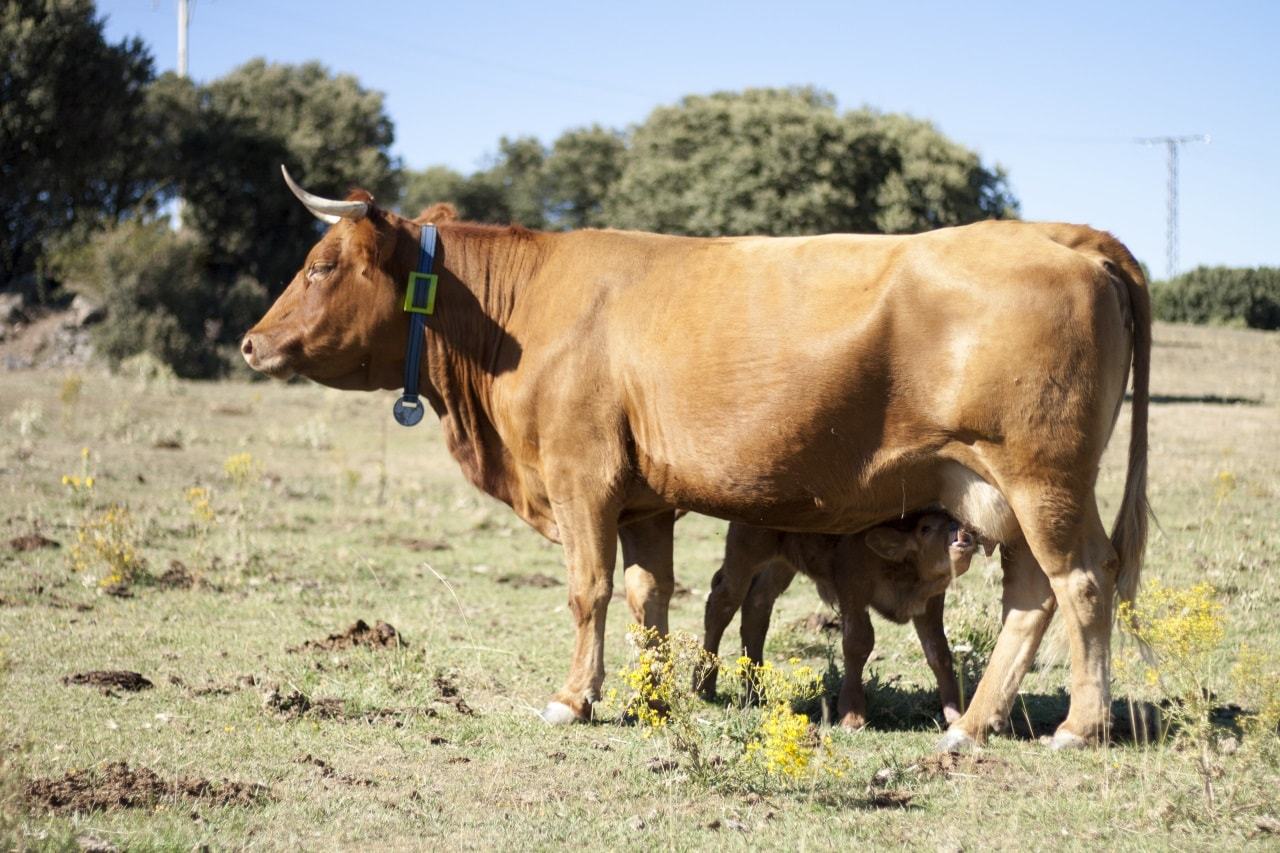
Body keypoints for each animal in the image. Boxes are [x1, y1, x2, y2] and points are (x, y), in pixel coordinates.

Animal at [701, 507, 977, 727]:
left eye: (954, 518)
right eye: (925, 528)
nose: (960, 531)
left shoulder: (930, 603)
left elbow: (938, 650)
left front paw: (956, 714)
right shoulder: (852, 590)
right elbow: (858, 643)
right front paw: (852, 715)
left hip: (780, 565)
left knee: (756, 607)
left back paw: (755, 693)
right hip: (745, 556)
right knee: (722, 601)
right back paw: (703, 686)